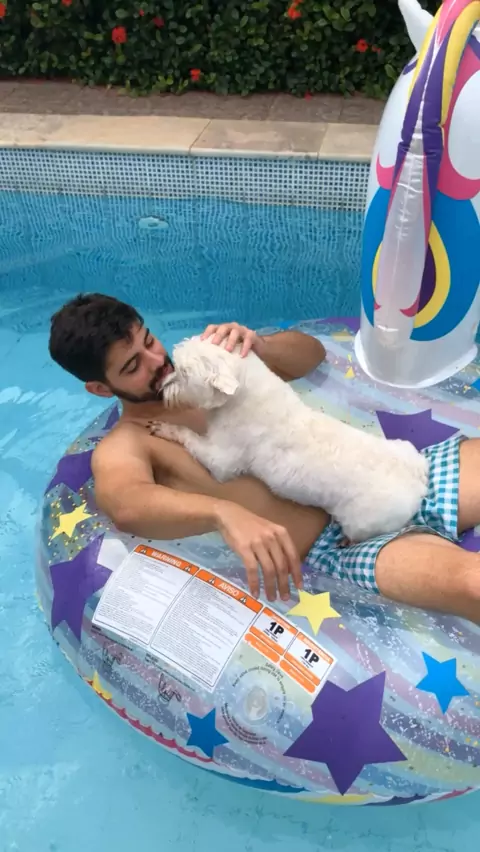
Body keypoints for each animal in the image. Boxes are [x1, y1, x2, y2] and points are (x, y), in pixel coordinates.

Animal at [150, 337, 429, 543]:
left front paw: (168, 428)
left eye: (184, 373)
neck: (240, 394)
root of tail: (417, 476)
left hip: (366, 519)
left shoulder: (224, 460)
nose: (161, 388)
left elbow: (194, 441)